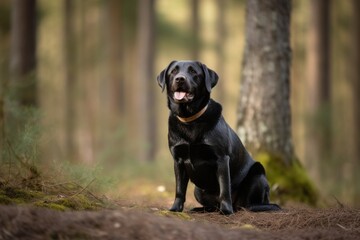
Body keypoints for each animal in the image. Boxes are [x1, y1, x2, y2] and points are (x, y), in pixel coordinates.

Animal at [157, 60, 278, 216]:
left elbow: (224, 188)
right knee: (212, 205)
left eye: (193, 71)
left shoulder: (221, 158)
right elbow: (179, 189)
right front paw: (175, 209)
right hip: (198, 190)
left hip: (258, 173)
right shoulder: (178, 159)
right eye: (173, 71)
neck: (190, 120)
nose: (180, 79)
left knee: (249, 203)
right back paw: (201, 209)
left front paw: (226, 210)